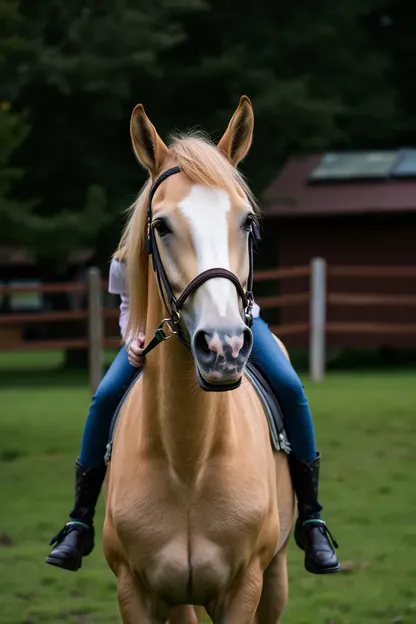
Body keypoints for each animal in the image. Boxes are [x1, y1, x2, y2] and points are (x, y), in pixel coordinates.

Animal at [102, 95, 294, 620]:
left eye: (247, 222)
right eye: (161, 225)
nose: (224, 347)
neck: (189, 461)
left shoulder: (246, 587)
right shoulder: (137, 592)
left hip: (276, 577)